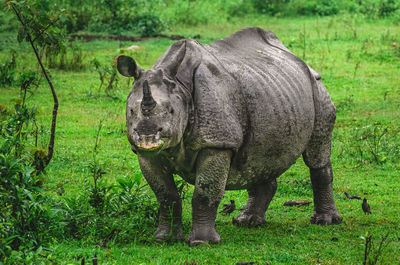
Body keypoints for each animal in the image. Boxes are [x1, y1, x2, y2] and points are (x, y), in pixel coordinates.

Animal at [115, 27, 340, 245]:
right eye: (131, 111)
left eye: (171, 111)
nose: (147, 137)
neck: (181, 85)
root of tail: (294, 56)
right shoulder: (145, 154)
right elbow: (165, 196)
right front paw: (164, 239)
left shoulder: (217, 142)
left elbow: (205, 192)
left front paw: (202, 243)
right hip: (272, 93)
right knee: (260, 157)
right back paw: (247, 222)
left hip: (317, 87)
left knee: (316, 154)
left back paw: (325, 221)